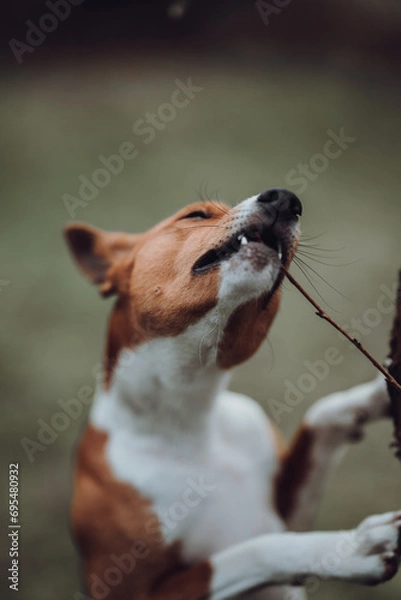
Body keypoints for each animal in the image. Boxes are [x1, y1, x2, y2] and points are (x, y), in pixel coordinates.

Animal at [65, 190, 400, 600]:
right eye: (196, 214)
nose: (286, 198)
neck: (190, 413)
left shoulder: (288, 514)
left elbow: (323, 414)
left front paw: (380, 392)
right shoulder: (132, 589)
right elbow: (255, 550)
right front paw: (357, 547)